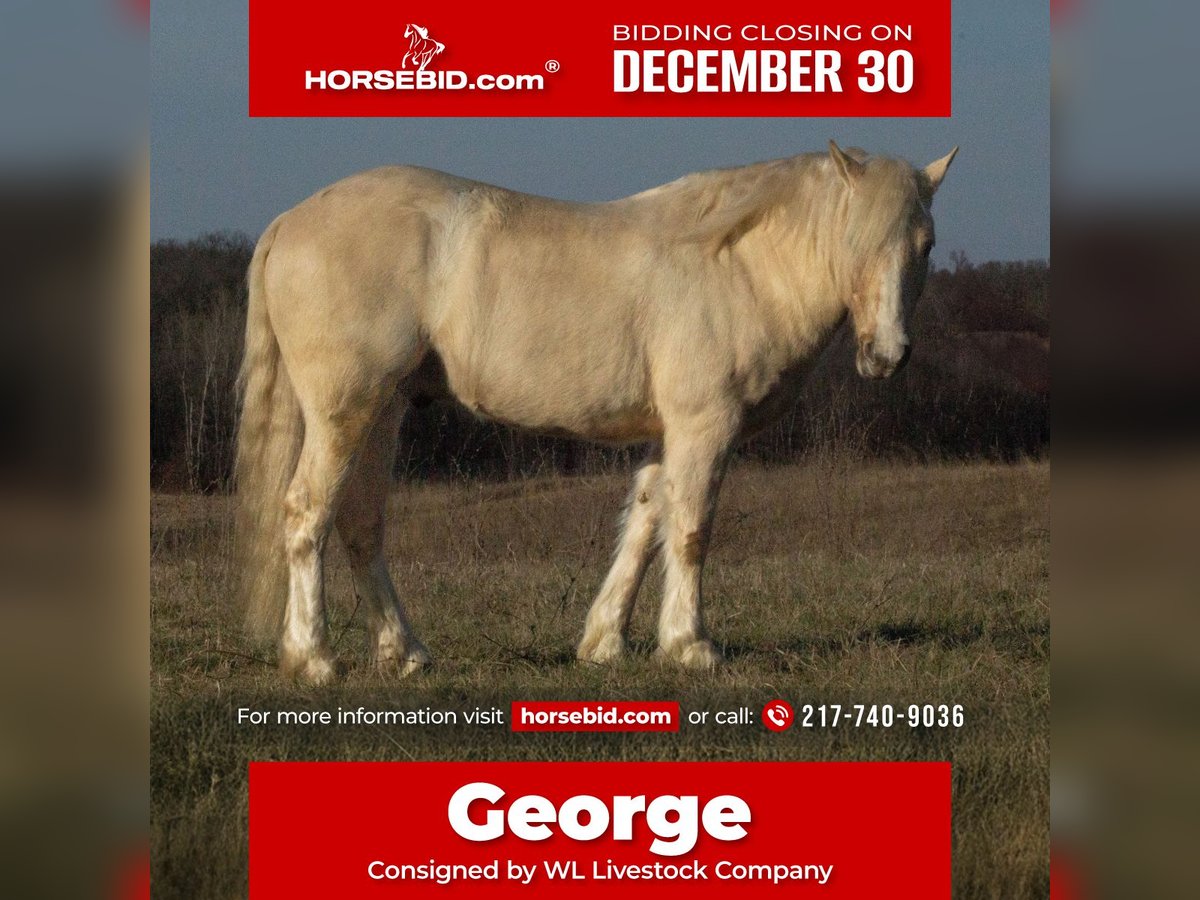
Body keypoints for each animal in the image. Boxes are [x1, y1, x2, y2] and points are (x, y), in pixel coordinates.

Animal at [236, 142, 955, 681]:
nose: (887, 355)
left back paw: (404, 653)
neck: (736, 266)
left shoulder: (669, 434)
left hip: (381, 411)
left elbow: (644, 523)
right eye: (853, 240)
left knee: (359, 522)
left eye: (925, 245)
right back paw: (313, 658)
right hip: (344, 410)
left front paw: (605, 642)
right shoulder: (705, 425)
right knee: (307, 511)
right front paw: (690, 646)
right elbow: (691, 531)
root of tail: (290, 220)